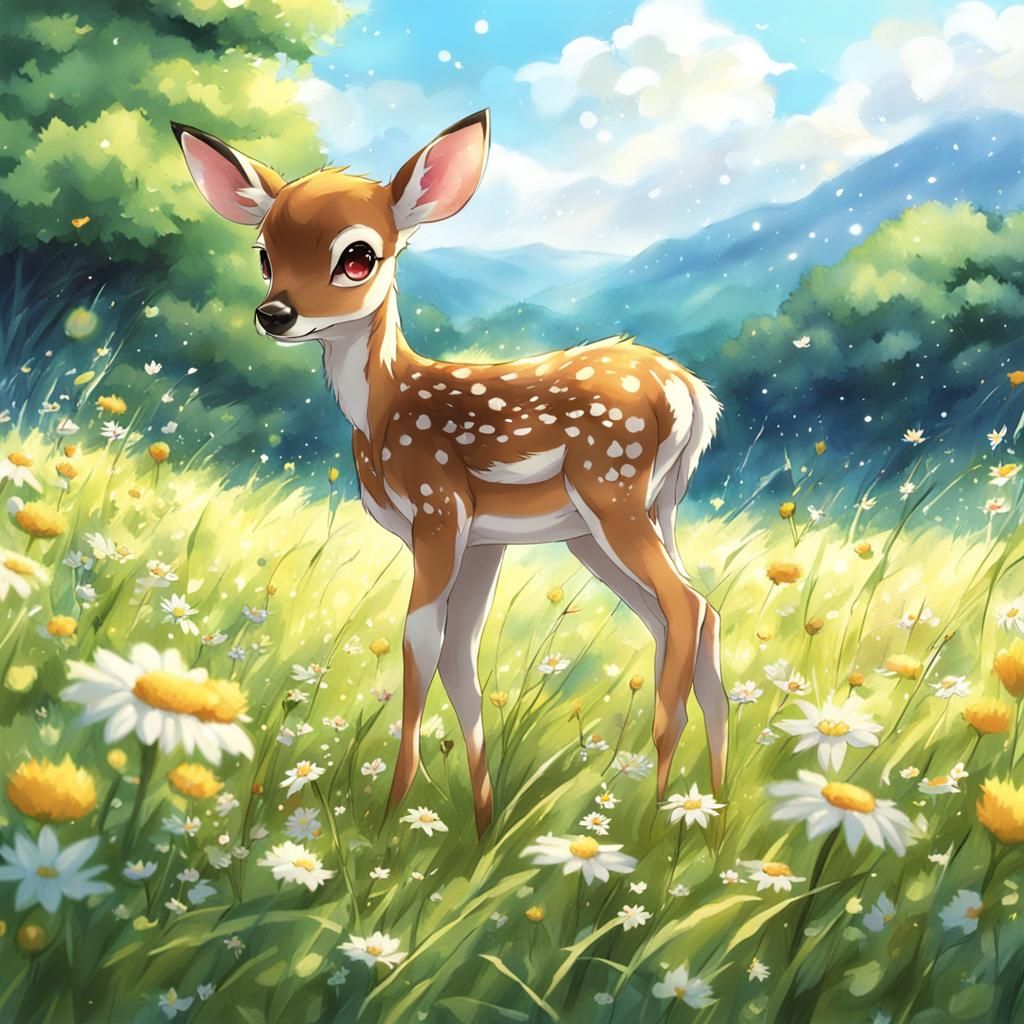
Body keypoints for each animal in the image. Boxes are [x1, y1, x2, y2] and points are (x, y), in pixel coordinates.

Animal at [172, 109, 728, 836]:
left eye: (358, 256)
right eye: (264, 254)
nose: (274, 314)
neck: (384, 411)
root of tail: (690, 392)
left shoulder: (438, 511)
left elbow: (420, 644)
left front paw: (392, 812)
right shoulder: (484, 538)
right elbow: (461, 660)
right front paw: (482, 821)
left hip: (612, 486)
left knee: (685, 607)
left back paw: (661, 810)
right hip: (628, 517)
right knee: (689, 615)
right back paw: (708, 811)